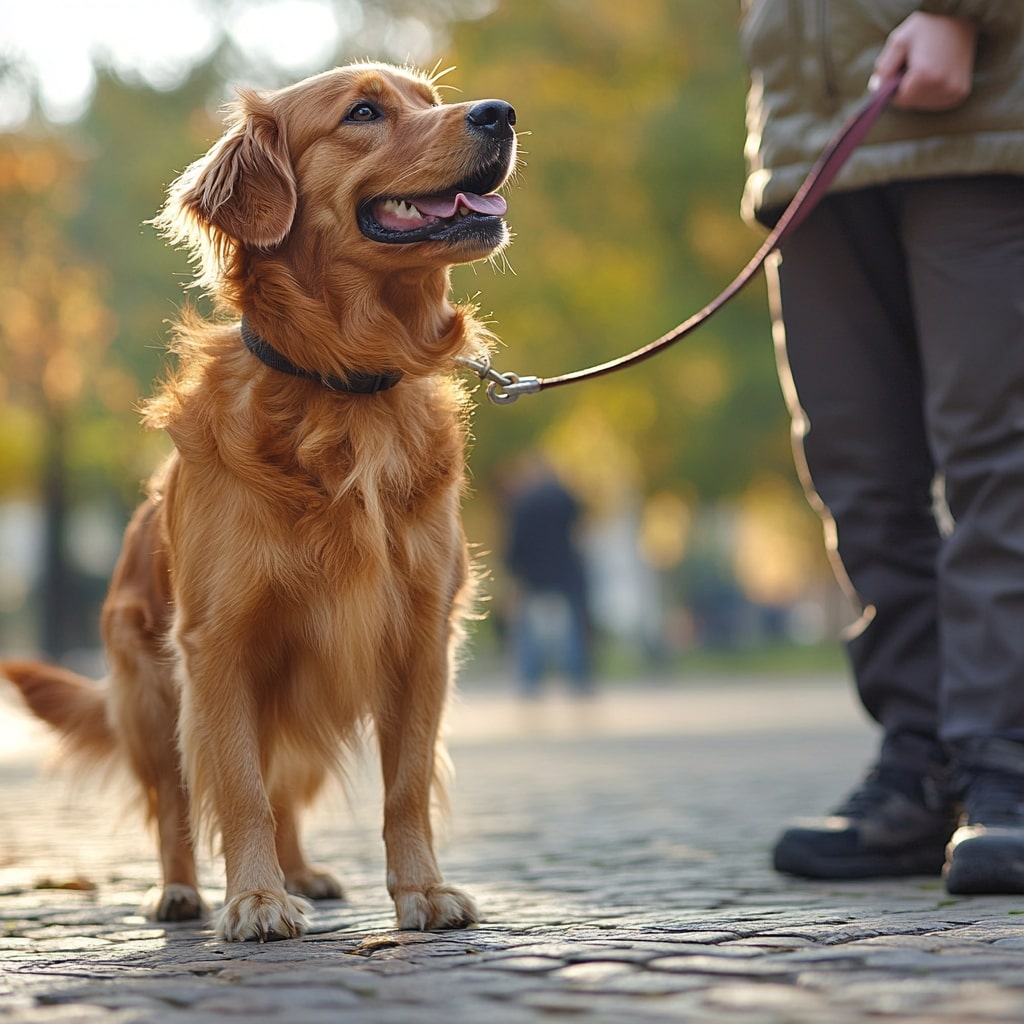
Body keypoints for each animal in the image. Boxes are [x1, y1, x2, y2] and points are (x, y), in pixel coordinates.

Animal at [0, 61, 512, 942]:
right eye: (364, 112)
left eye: (430, 98)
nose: (501, 113)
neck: (345, 385)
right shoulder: (218, 645)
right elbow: (236, 789)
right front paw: (255, 900)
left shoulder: (420, 637)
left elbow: (406, 783)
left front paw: (422, 890)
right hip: (150, 697)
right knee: (176, 804)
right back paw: (182, 891)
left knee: (286, 789)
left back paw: (304, 872)